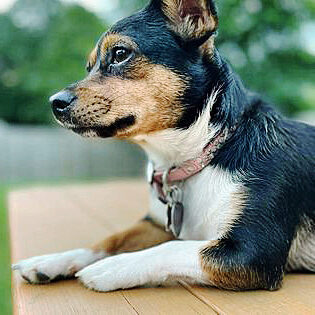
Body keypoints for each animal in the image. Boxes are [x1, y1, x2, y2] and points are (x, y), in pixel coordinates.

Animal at [12, 0, 315, 294]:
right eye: (89, 68)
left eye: (120, 53)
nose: (55, 102)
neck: (203, 152)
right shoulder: (157, 225)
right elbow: (112, 239)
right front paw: (52, 260)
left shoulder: (251, 251)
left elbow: (170, 248)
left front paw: (113, 266)